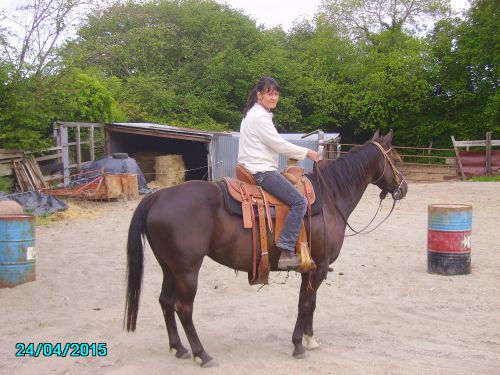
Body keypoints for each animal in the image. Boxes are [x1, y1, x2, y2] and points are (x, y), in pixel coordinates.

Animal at [124, 129, 406, 368]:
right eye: (396, 158)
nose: (403, 188)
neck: (329, 198)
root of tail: (157, 197)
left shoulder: (312, 267)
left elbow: (310, 302)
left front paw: (310, 339)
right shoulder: (320, 266)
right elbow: (306, 304)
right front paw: (298, 345)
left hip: (169, 268)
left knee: (165, 302)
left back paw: (179, 348)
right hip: (187, 270)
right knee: (183, 308)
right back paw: (201, 354)